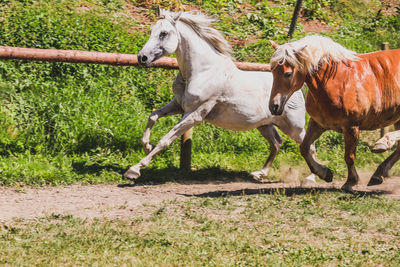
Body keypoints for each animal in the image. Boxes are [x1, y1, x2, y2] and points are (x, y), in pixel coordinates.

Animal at [123, 8, 314, 181]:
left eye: (163, 33)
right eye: (151, 31)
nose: (142, 57)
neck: (202, 71)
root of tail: (296, 89)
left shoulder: (194, 114)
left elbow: (166, 139)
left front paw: (134, 170)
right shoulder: (178, 105)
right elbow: (153, 115)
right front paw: (146, 146)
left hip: (293, 127)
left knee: (309, 147)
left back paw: (311, 178)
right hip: (264, 125)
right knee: (277, 143)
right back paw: (259, 173)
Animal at [268, 35, 400, 193]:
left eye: (288, 74)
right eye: (272, 71)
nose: (274, 106)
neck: (338, 81)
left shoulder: (351, 127)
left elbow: (349, 156)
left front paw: (350, 182)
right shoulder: (318, 123)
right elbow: (304, 148)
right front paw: (325, 173)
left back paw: (383, 143)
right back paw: (378, 174)